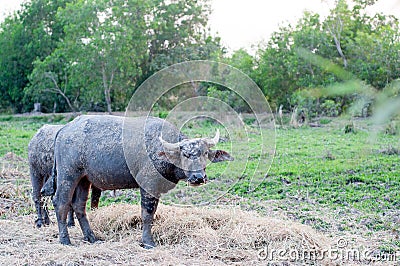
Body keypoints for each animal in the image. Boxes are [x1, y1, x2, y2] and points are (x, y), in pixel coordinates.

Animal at [47, 115, 233, 246]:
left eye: (204, 154)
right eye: (185, 155)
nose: (198, 177)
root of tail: (65, 129)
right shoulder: (148, 186)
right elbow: (147, 214)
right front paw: (148, 242)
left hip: (84, 179)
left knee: (79, 205)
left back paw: (91, 237)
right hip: (67, 175)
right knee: (61, 202)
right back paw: (65, 240)